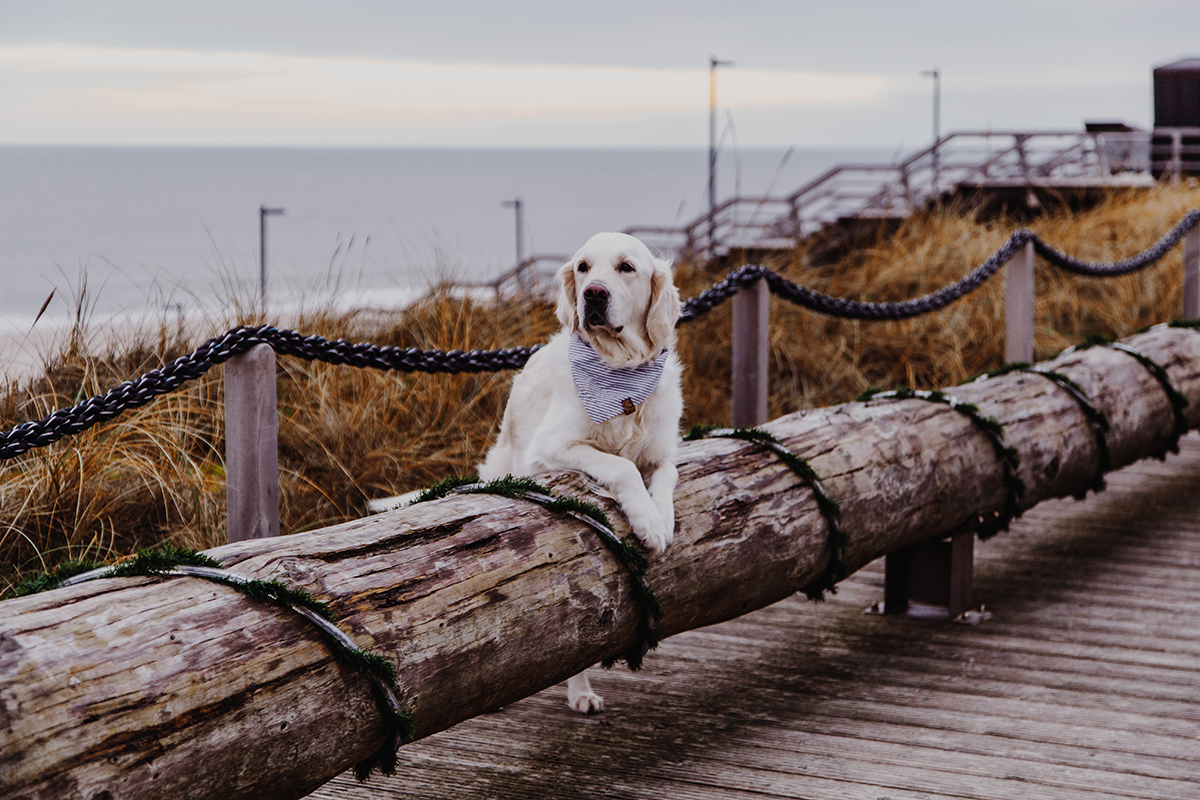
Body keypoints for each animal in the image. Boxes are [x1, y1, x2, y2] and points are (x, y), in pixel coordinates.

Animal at [482, 231, 681, 714]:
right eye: (584, 268)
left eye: (626, 267)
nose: (593, 294)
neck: (621, 376)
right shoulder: (549, 448)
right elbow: (623, 465)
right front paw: (647, 521)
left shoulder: (665, 450)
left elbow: (665, 475)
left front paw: (662, 518)